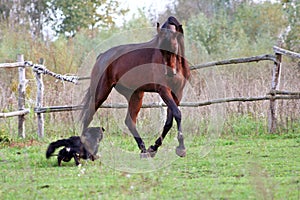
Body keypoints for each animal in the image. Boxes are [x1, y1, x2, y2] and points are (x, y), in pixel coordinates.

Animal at [80, 16, 190, 158]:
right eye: (160, 49)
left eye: (173, 47)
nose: (169, 73)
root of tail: (102, 56)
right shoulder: (164, 91)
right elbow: (177, 114)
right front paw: (181, 148)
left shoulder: (177, 92)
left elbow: (169, 120)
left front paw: (153, 148)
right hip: (101, 93)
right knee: (88, 116)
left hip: (135, 94)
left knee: (129, 121)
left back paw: (143, 150)